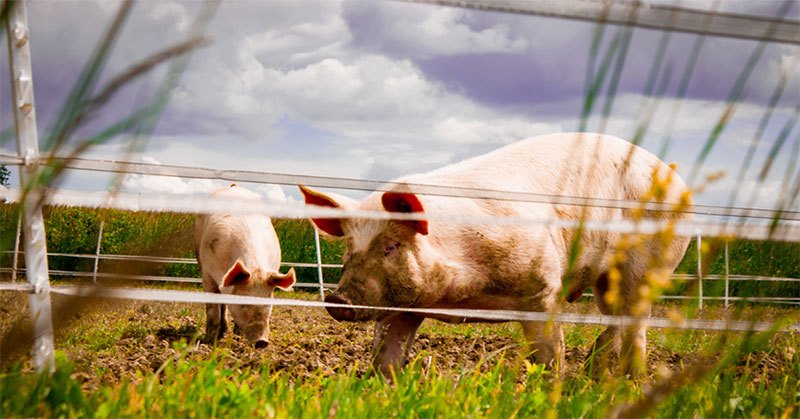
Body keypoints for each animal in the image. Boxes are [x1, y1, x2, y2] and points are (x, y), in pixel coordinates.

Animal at [195, 184, 296, 348]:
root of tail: (233, 186)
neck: (254, 267)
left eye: (268, 304)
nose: (261, 342)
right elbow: (212, 308)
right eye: (242, 304)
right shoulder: (207, 272)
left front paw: (238, 335)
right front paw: (209, 340)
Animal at [300, 134, 692, 378]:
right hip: (606, 278)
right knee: (616, 319)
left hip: (648, 264)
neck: (461, 297)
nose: (337, 299)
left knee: (636, 320)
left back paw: (629, 379)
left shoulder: (542, 289)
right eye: (349, 247)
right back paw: (595, 374)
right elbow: (386, 357)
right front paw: (381, 386)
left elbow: (549, 354)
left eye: (391, 246)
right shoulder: (405, 306)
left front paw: (551, 386)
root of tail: (674, 177)